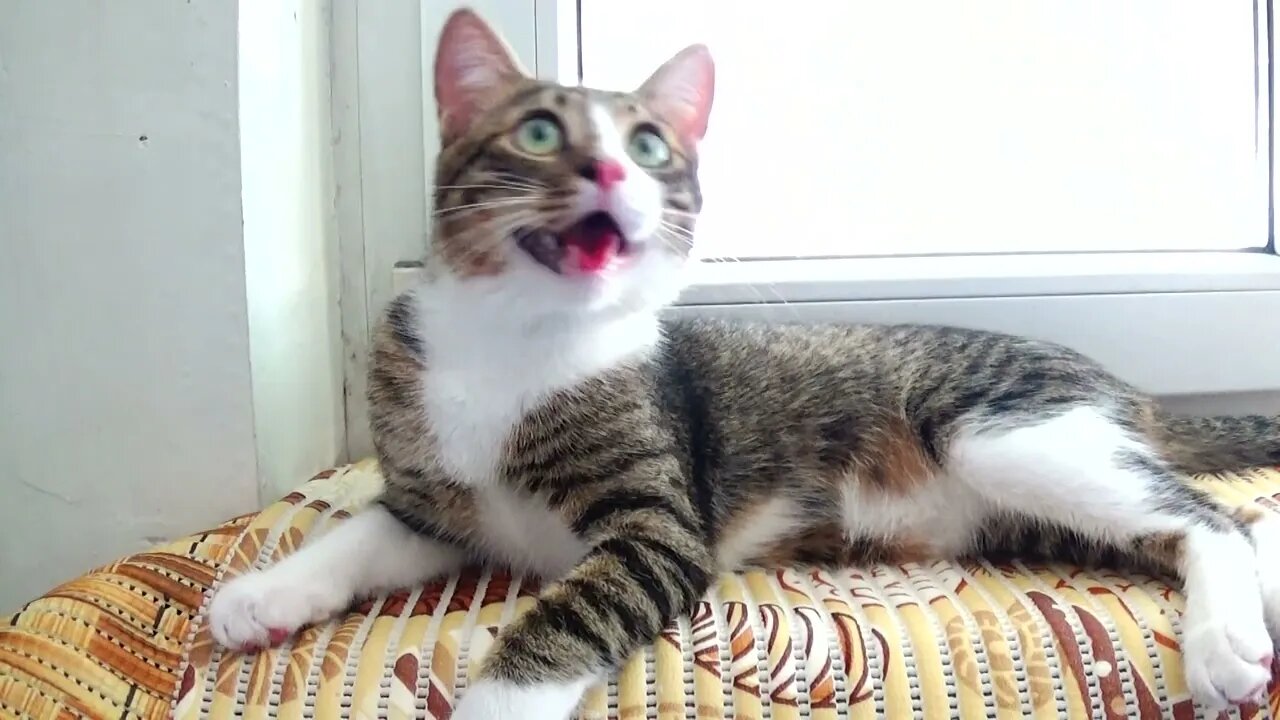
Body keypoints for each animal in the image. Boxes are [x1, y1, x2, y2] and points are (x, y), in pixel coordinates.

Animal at [207, 7, 1280, 717]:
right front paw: (262, 596)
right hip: (1027, 505)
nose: (610, 169)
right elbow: (363, 533)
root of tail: (1124, 389)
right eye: (541, 131)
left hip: (1008, 434)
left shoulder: (658, 530)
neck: (516, 338)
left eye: (649, 146)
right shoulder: (434, 499)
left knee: (1208, 518)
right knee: (1187, 523)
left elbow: (570, 616)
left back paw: (1226, 638)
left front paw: (498, 700)